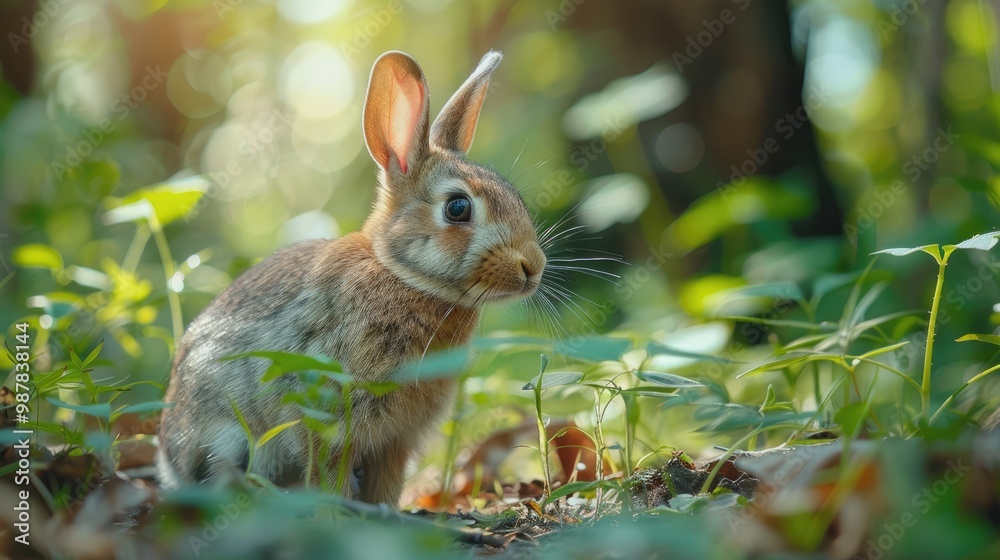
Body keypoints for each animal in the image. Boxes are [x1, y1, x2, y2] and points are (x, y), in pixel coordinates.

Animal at [156, 50, 546, 506]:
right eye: (457, 208)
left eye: (516, 198)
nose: (533, 266)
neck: (402, 275)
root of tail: (167, 462)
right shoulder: (325, 412)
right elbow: (327, 472)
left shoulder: (396, 439)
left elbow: (386, 486)